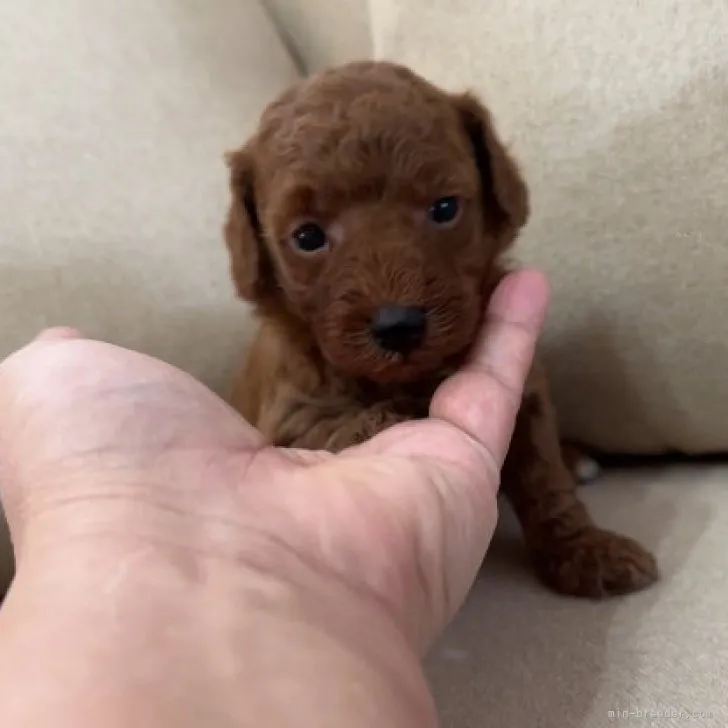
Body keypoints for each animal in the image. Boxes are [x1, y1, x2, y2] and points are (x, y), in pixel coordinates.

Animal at [219, 61, 656, 596]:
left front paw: (586, 550)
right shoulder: (292, 416)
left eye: (445, 209)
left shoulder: (527, 390)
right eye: (307, 237)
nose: (398, 326)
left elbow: (543, 478)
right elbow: (349, 423)